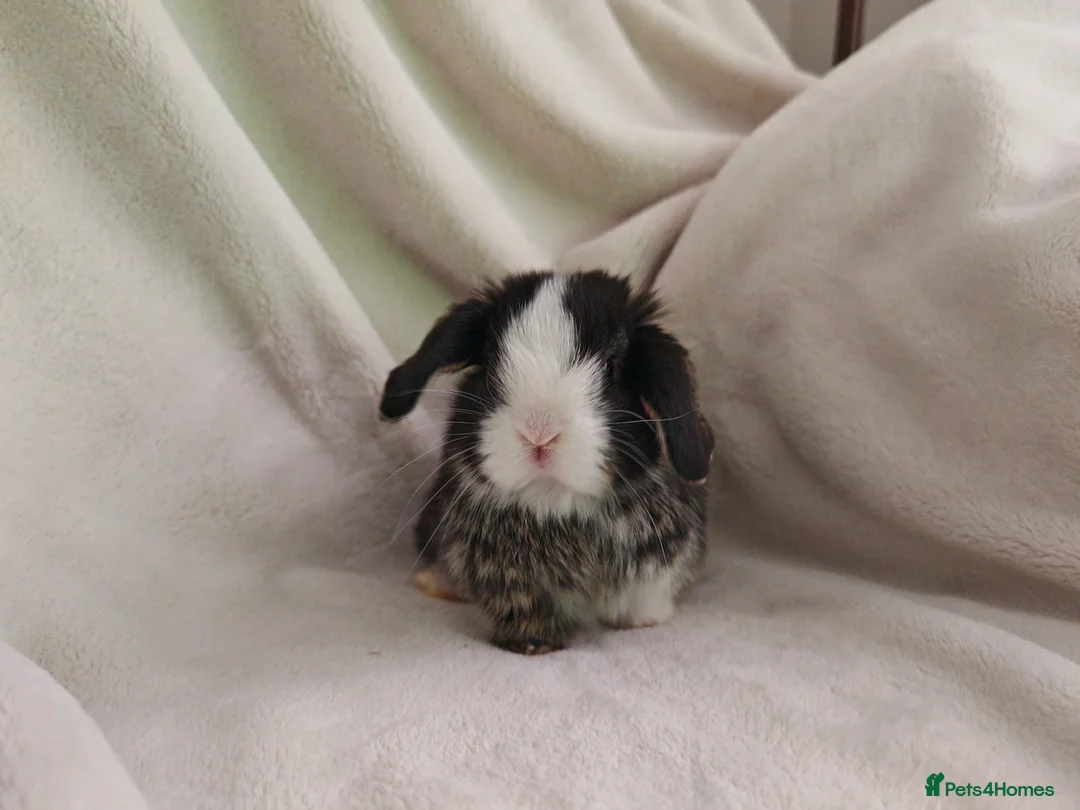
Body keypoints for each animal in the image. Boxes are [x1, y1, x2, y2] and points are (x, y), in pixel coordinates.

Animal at [378, 268, 714, 655]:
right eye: (489, 365)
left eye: (611, 368)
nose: (539, 433)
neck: (555, 507)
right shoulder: (509, 581)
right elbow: (524, 607)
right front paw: (533, 644)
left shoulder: (655, 571)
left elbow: (646, 597)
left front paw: (643, 622)